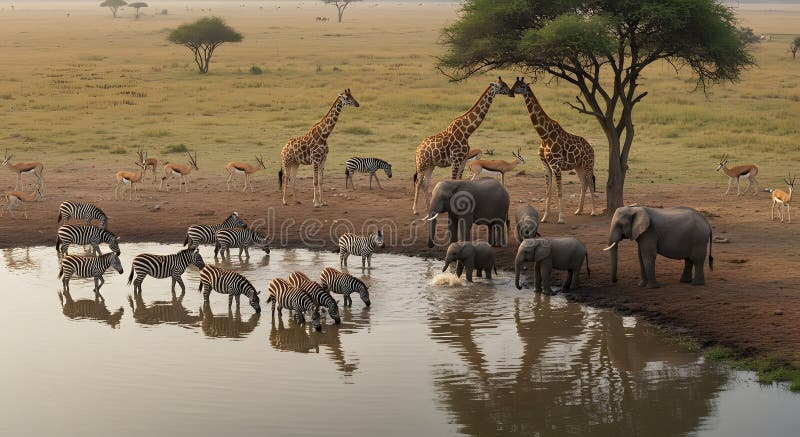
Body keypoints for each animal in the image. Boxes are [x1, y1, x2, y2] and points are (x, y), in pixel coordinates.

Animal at [412, 77, 515, 215]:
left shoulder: (463, 160)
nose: (512, 93)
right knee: (418, 182)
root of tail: (418, 149)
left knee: (425, 183)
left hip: (431, 165)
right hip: (422, 163)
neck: (467, 131)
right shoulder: (455, 160)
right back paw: (415, 210)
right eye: (502, 86)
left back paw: (429, 208)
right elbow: (453, 180)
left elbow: (460, 181)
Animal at [511, 77, 596, 224]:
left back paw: (593, 212)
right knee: (584, 183)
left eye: (521, 86)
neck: (544, 135)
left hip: (588, 163)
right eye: (513, 84)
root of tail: (591, 148)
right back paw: (578, 211)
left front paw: (561, 218)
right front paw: (544, 218)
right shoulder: (545, 165)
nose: (511, 91)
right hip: (578, 166)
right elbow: (548, 192)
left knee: (590, 182)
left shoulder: (556, 165)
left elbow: (559, 191)